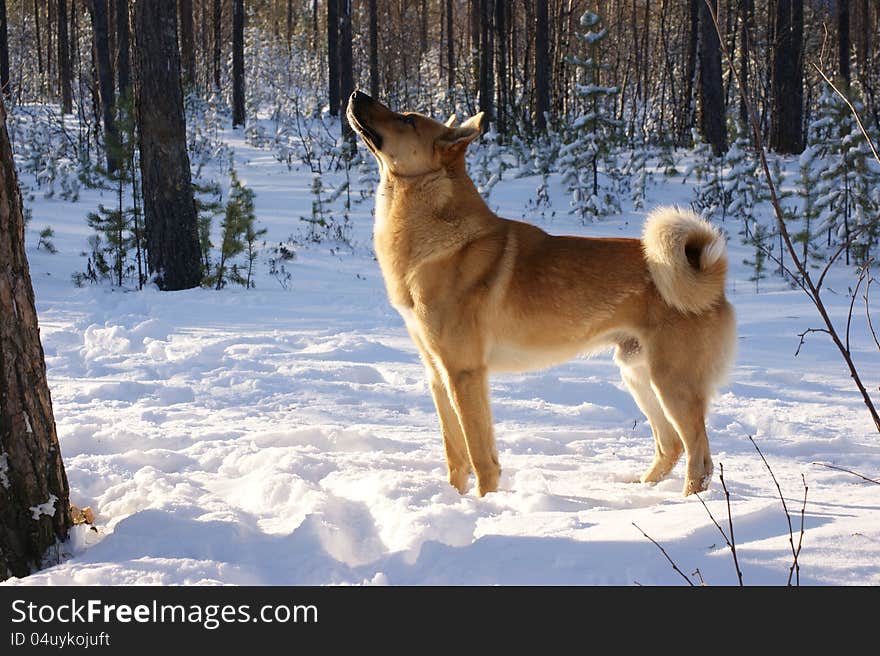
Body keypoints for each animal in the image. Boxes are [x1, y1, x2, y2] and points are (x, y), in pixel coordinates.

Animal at [346, 91, 736, 498]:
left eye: (407, 119)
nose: (357, 94)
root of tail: (713, 279)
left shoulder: (464, 374)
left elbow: (480, 457)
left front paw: (486, 505)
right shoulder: (438, 374)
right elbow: (456, 456)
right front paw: (456, 500)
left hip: (672, 383)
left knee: (699, 458)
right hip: (638, 374)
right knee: (671, 446)